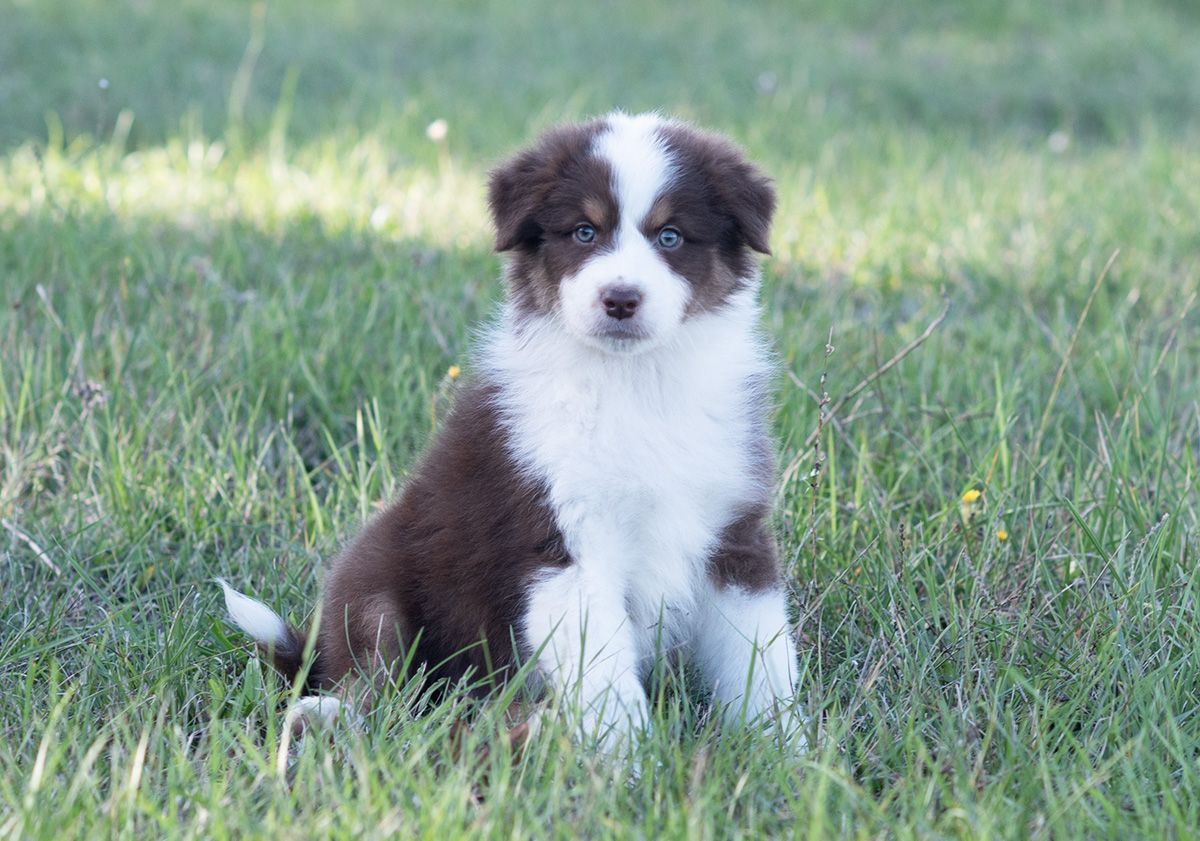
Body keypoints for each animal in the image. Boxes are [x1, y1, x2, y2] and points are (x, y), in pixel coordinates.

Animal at [225, 109, 806, 748]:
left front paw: (784, 752)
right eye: (584, 232)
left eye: (670, 237)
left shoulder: (736, 538)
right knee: (371, 676)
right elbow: (608, 683)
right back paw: (331, 714)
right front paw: (629, 764)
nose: (620, 299)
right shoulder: (560, 546)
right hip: (374, 582)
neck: (634, 383)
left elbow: (762, 660)